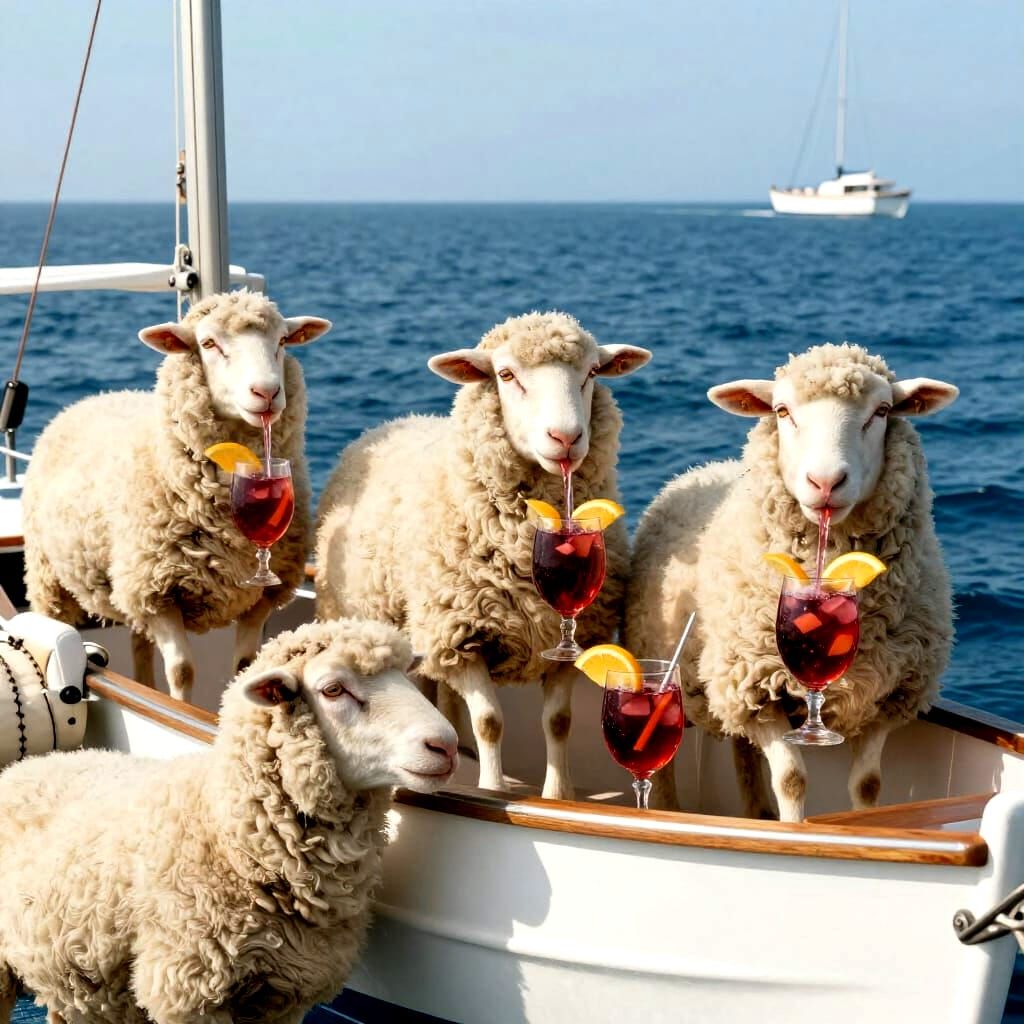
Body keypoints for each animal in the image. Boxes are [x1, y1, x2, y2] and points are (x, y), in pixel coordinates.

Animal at [0, 617, 458, 1024]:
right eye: (333, 689)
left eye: (407, 677)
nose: (447, 745)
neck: (232, 836)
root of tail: (27, 765)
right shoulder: (187, 992)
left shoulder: (288, 994)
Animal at [22, 290, 331, 703]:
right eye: (209, 343)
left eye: (282, 341)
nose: (266, 392)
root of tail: (94, 397)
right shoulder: (159, 593)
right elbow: (183, 670)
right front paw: (182, 707)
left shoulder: (261, 596)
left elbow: (244, 665)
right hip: (51, 577)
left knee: (139, 642)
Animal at [316, 311, 650, 800]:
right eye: (506, 375)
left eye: (592, 373)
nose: (566, 437)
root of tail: (391, 423)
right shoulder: (462, 636)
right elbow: (491, 722)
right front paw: (493, 792)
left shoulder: (574, 639)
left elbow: (559, 722)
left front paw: (558, 795)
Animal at [625, 343, 958, 822]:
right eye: (783, 411)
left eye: (881, 411)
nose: (826, 482)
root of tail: (699, 469)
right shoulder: (757, 688)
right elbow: (792, 779)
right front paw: (794, 828)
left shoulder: (889, 693)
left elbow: (869, 784)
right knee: (665, 758)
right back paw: (670, 811)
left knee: (742, 751)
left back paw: (755, 813)